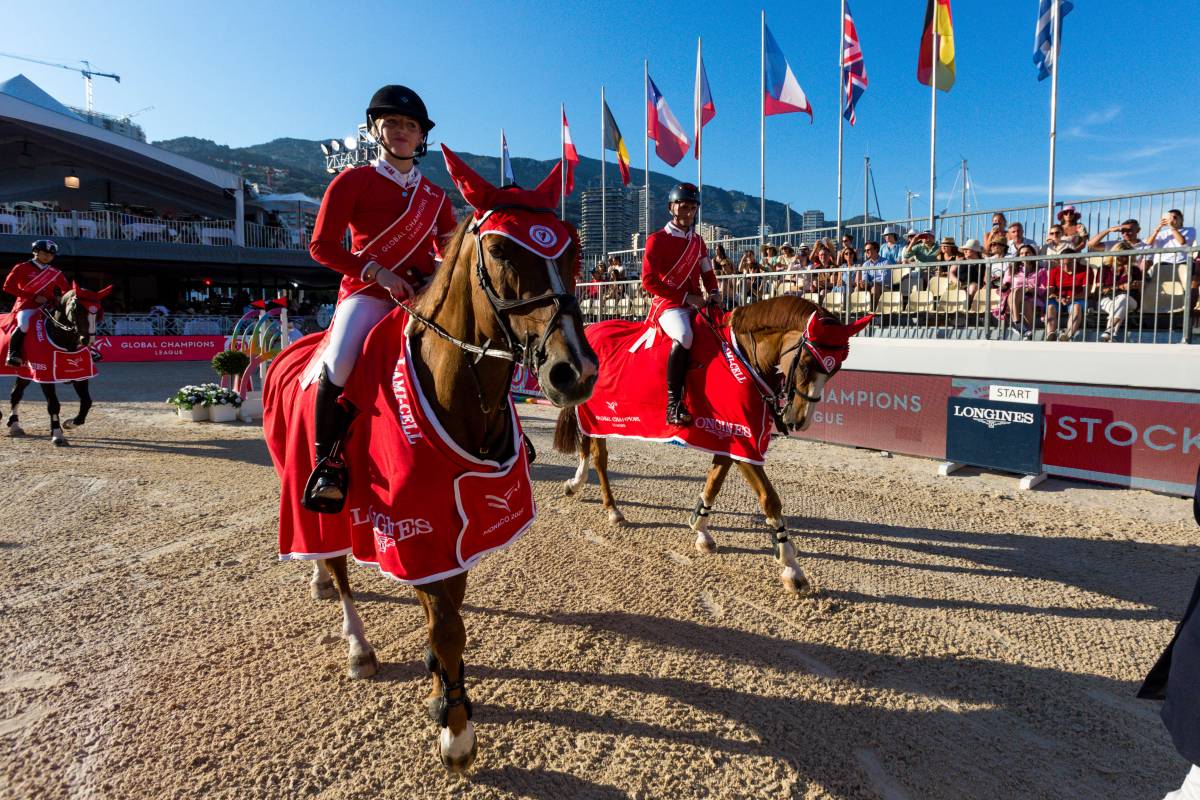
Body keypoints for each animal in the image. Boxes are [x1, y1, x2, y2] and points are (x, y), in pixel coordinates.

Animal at [265, 145, 597, 777]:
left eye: (573, 248)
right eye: (500, 249)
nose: (575, 372)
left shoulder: (461, 523)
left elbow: (450, 613)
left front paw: (443, 686)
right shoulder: (414, 528)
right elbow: (448, 627)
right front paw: (457, 731)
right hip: (310, 489)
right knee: (336, 559)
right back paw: (358, 645)